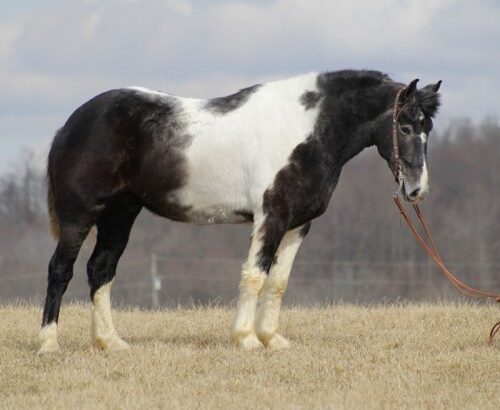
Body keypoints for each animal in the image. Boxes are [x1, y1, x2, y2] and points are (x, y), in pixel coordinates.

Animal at [38, 69, 442, 352]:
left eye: (428, 129)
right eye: (405, 126)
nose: (418, 190)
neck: (303, 131)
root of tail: (71, 124)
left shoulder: (297, 225)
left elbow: (277, 282)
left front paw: (271, 339)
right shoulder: (270, 218)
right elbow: (254, 275)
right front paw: (246, 338)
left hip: (119, 215)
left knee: (100, 270)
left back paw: (110, 342)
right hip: (79, 217)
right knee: (60, 271)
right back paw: (48, 344)